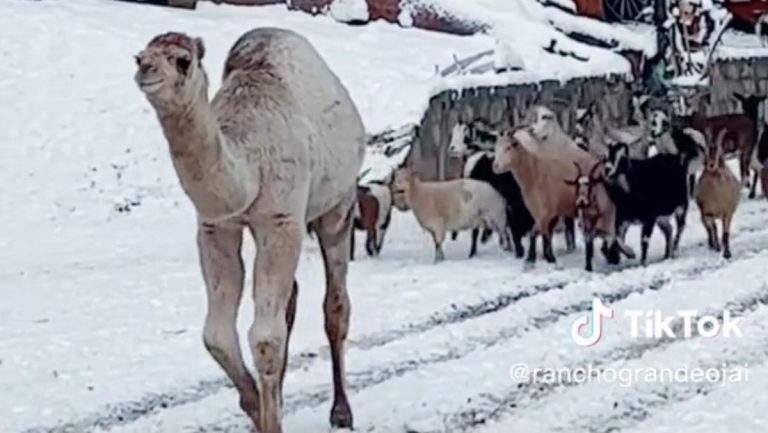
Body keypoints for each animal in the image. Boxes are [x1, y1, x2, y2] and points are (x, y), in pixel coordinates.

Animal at [134, 28, 366, 433]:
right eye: (139, 56)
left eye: (182, 60)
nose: (145, 69)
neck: (249, 167)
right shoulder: (215, 226)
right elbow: (217, 336)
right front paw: (257, 408)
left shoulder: (281, 219)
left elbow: (265, 338)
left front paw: (270, 420)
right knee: (290, 299)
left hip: (338, 203)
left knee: (335, 305)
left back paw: (341, 411)